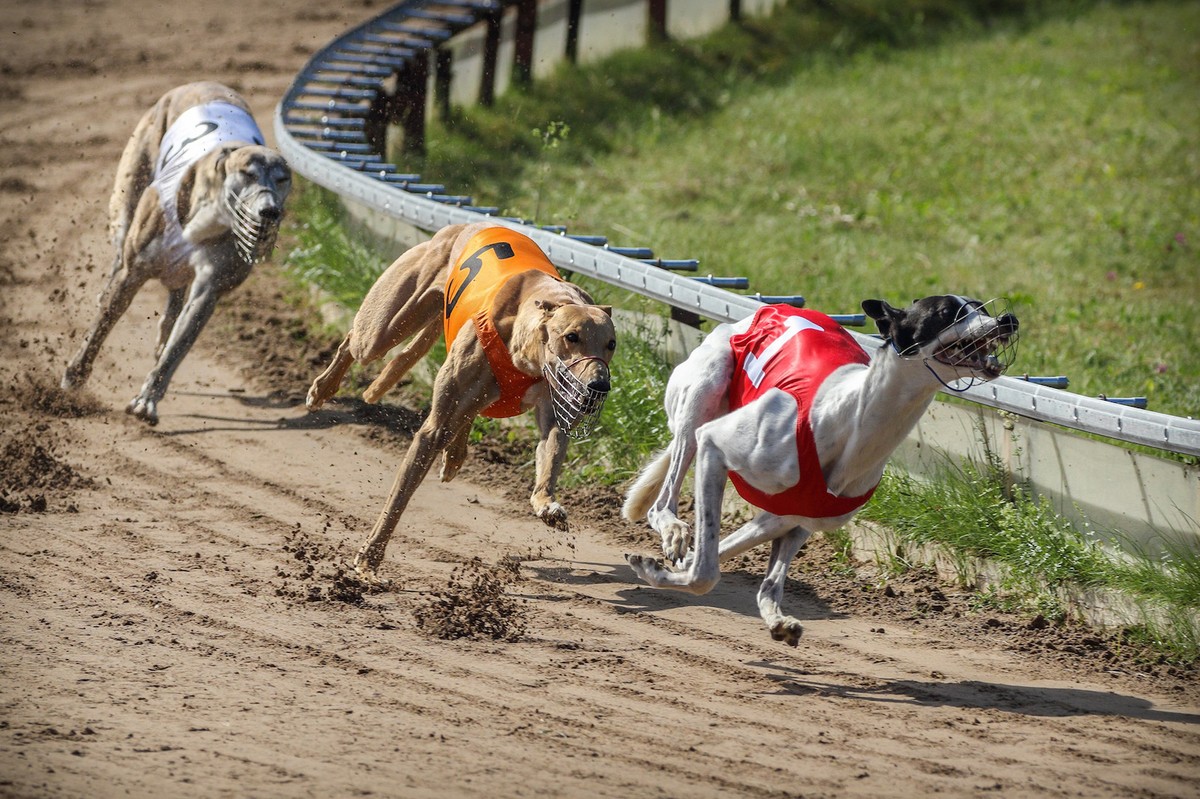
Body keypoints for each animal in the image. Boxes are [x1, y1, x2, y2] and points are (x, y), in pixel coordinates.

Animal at [62, 80, 290, 422]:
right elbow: (103, 325)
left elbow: (176, 348)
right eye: (247, 173)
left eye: (283, 179)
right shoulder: (134, 271)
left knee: (174, 301)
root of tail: (201, 83)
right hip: (128, 195)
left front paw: (146, 401)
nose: (270, 211)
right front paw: (75, 375)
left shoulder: (209, 290)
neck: (209, 215)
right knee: (117, 260)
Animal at [307, 220, 619, 583]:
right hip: (384, 329)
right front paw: (370, 557)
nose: (599, 385)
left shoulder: (554, 410)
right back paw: (322, 389)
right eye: (571, 337)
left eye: (611, 343)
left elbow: (550, 453)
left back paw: (455, 454)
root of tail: (463, 225)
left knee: (468, 412)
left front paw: (546, 505)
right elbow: (399, 496)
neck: (526, 354)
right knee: (353, 342)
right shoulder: (431, 430)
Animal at [624, 295, 1017, 643]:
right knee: (663, 502)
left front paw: (778, 620)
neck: (852, 418)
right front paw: (654, 567)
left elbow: (762, 579)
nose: (1007, 319)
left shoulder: (797, 518)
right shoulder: (714, 446)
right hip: (704, 396)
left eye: (980, 307)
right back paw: (673, 531)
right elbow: (705, 573)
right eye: (948, 312)